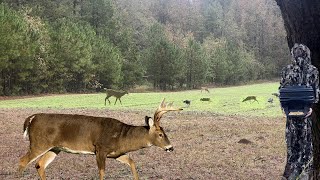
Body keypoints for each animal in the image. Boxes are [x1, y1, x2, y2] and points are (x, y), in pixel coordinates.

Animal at [18, 98, 182, 180]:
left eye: (165, 132)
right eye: (160, 134)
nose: (171, 147)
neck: (122, 137)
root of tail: (31, 118)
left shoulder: (116, 153)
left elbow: (132, 162)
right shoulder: (100, 149)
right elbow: (102, 172)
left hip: (54, 148)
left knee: (39, 165)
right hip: (39, 143)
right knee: (23, 160)